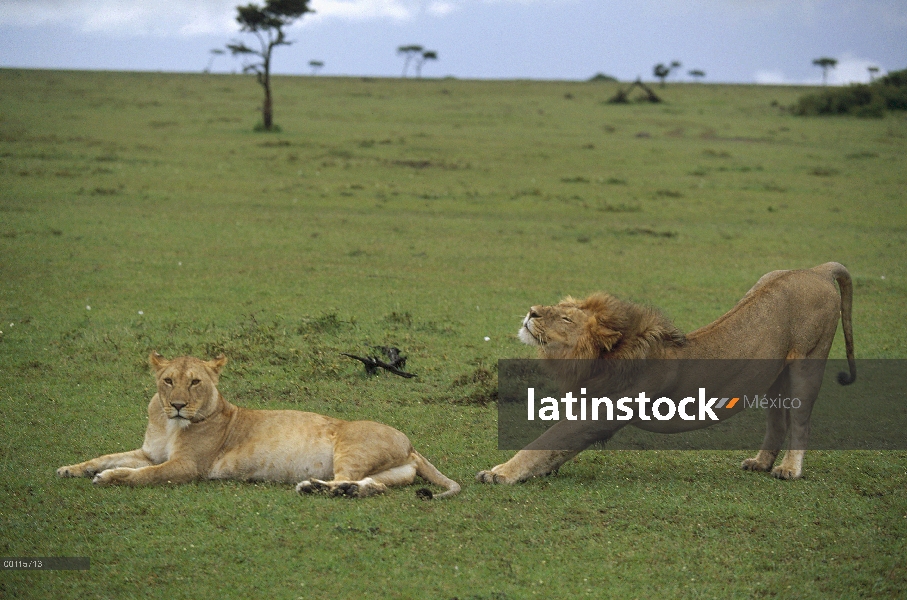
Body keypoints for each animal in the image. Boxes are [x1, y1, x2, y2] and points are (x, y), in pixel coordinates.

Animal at [56, 354, 462, 500]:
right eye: (169, 381)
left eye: (195, 382)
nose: (177, 405)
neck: (169, 425)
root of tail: (411, 445)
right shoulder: (148, 452)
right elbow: (106, 456)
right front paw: (70, 468)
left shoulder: (187, 466)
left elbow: (140, 476)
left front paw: (109, 478)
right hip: (386, 472)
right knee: (373, 485)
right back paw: (335, 490)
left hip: (350, 447)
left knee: (351, 479)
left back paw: (312, 487)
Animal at [478, 260, 856, 486]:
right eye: (560, 307)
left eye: (566, 317)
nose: (531, 311)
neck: (600, 358)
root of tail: (818, 268)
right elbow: (553, 449)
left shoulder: (602, 414)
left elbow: (543, 442)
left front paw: (499, 473)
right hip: (773, 376)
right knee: (777, 421)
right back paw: (761, 463)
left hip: (808, 361)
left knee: (801, 422)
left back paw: (789, 470)